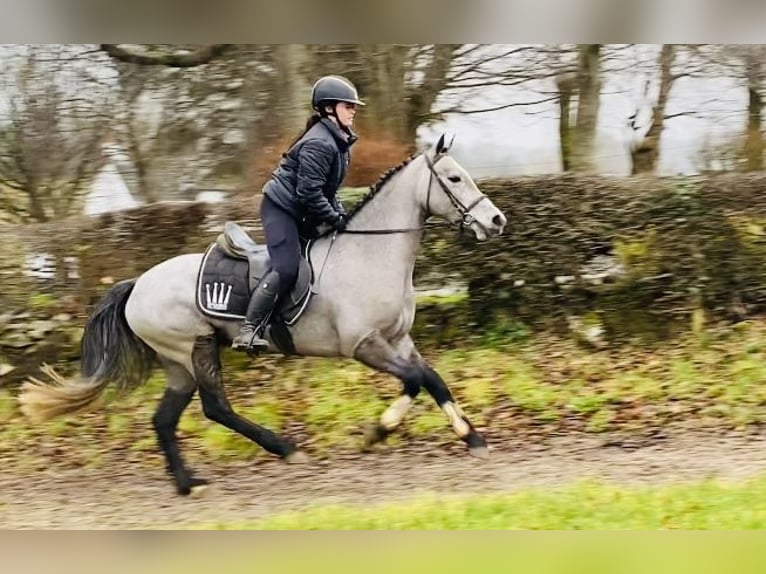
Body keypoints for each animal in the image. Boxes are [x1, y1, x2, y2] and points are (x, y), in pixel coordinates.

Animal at [18, 134, 508, 496]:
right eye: (454, 177)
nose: (497, 221)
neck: (372, 253)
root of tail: (137, 284)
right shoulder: (364, 345)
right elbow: (415, 380)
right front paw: (378, 432)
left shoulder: (399, 339)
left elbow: (432, 379)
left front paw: (471, 437)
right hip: (194, 347)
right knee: (216, 407)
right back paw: (284, 449)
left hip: (178, 363)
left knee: (166, 418)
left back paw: (187, 482)